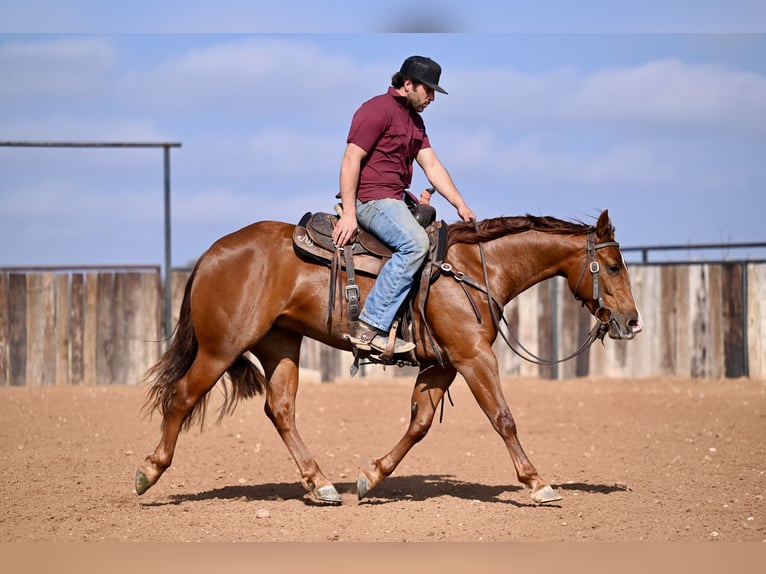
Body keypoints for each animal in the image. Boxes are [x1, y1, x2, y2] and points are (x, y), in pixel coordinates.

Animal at [136, 210, 640, 504]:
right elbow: (503, 417)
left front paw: (371, 477)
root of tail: (212, 253)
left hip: (279, 344)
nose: (633, 322)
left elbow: (420, 423)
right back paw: (148, 472)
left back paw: (321, 484)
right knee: (181, 396)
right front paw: (537, 483)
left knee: (280, 409)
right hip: (221, 348)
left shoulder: (442, 365)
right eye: (614, 266)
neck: (473, 270)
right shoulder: (473, 357)